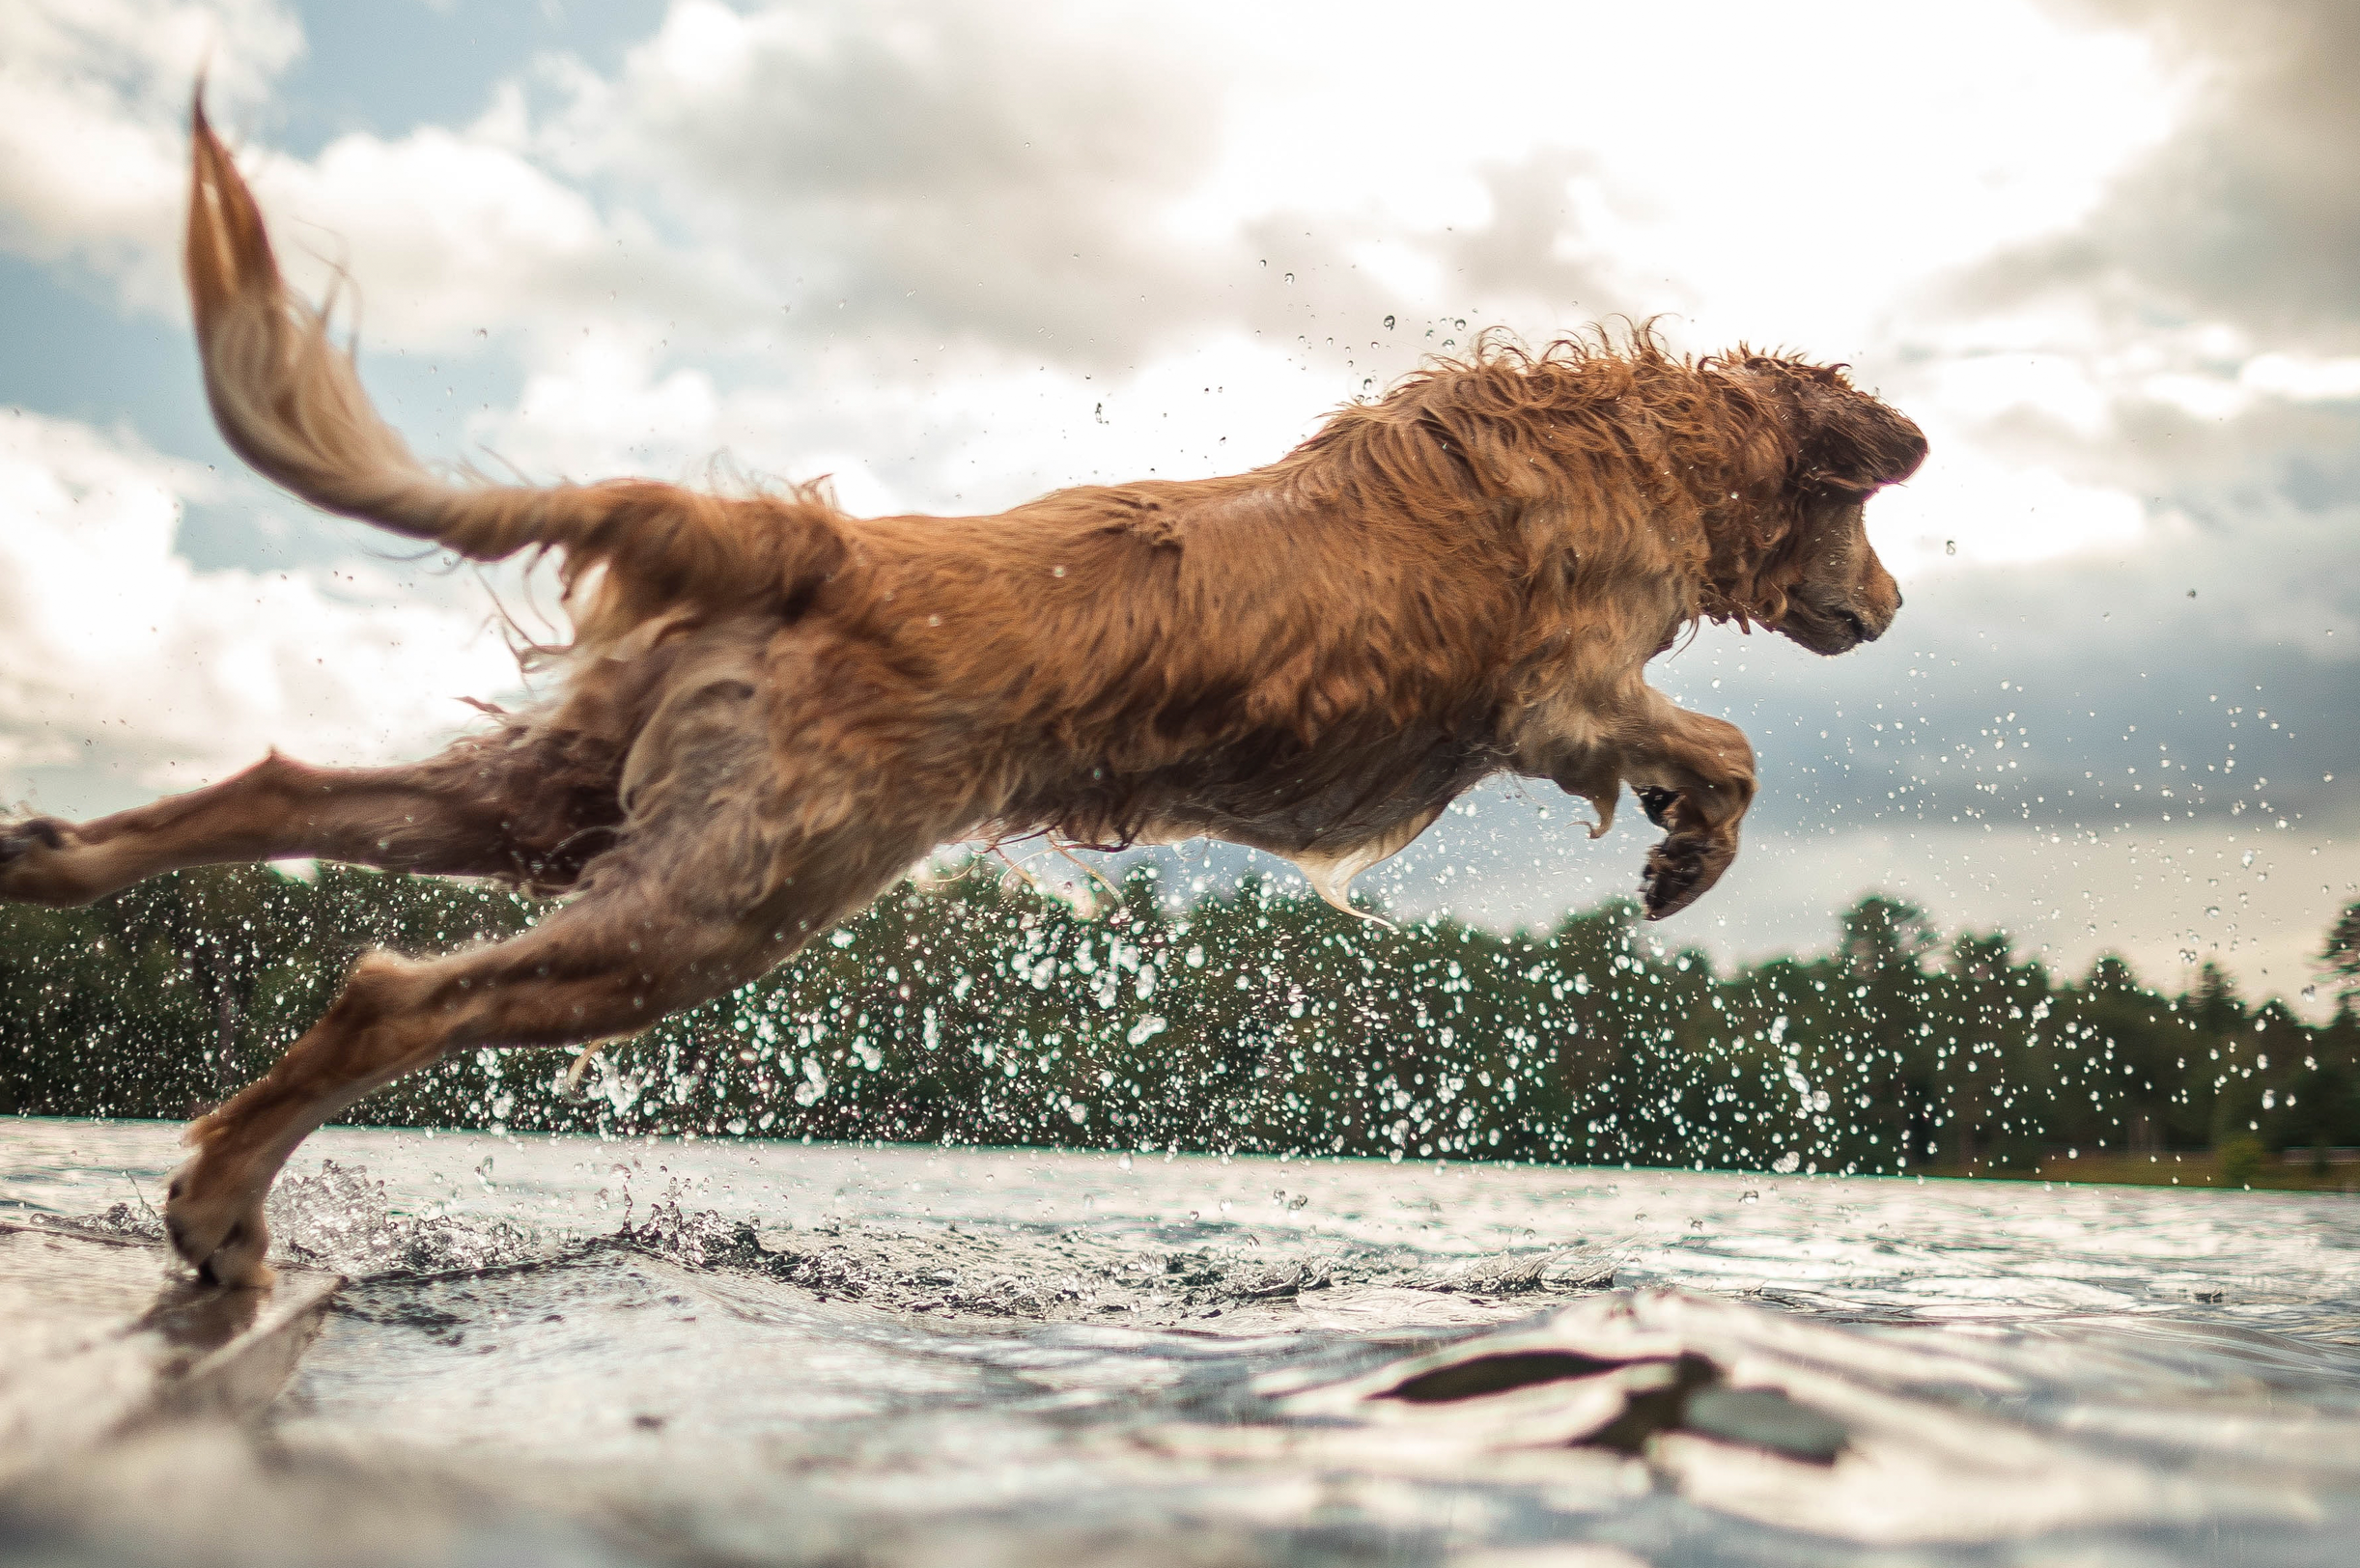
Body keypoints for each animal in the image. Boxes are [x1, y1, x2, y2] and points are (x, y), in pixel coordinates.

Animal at [0, 100, 1916, 1284]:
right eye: (1873, 513)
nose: (1896, 609)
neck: (1648, 441)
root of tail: (812, 549)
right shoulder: (1560, 693)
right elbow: (1723, 741)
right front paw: (1685, 851)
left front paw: (1675, 841)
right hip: (723, 897)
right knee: (391, 990)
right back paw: (218, 1205)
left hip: (578, 805)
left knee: (273, 791)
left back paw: (54, 858)